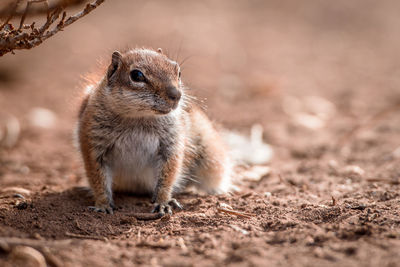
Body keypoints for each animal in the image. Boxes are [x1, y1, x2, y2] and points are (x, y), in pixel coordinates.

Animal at [77, 47, 233, 216]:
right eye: (137, 75)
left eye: (178, 71)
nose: (177, 95)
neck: (139, 118)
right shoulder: (92, 143)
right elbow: (97, 178)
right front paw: (103, 204)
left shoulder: (171, 144)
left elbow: (168, 175)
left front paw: (163, 202)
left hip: (210, 159)